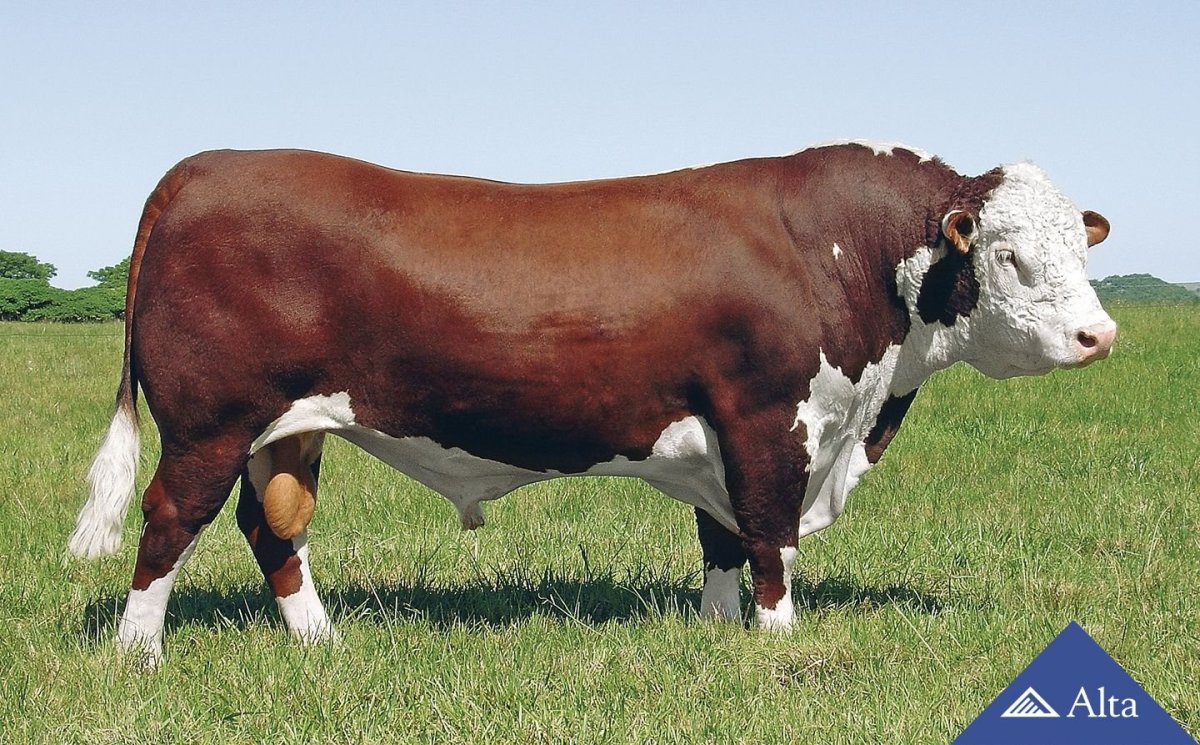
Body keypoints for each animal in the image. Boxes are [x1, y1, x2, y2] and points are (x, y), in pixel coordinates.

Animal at [67, 142, 1115, 665]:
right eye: (1012, 256)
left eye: (1082, 245)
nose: (1099, 336)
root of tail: (202, 166)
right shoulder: (768, 420)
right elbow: (770, 535)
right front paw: (779, 641)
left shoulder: (720, 432)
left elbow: (722, 537)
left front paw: (717, 631)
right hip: (210, 422)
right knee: (172, 516)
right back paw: (138, 651)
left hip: (284, 429)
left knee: (273, 523)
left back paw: (319, 638)